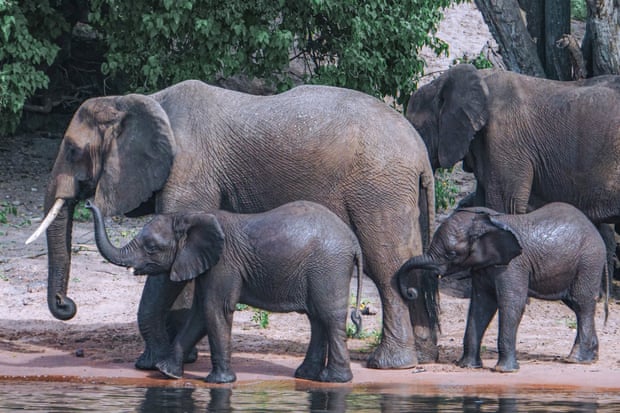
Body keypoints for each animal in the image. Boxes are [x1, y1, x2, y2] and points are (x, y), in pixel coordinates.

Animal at [85, 200, 360, 384]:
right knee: (317, 318)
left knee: (329, 317)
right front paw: (167, 372)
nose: (88, 204)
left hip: (329, 267)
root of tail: (353, 240)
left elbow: (214, 309)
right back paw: (307, 375)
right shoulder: (206, 265)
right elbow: (198, 315)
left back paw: (335, 380)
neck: (190, 217)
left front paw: (219, 382)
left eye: (152, 247)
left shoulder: (223, 264)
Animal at [398, 201, 604, 372]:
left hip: (589, 261)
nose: (410, 291)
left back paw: (576, 359)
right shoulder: (483, 267)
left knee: (581, 303)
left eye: (451, 254)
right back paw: (591, 357)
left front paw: (504, 371)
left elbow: (511, 303)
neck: (487, 222)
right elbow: (481, 306)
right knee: (576, 304)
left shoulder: (513, 265)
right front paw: (468, 366)